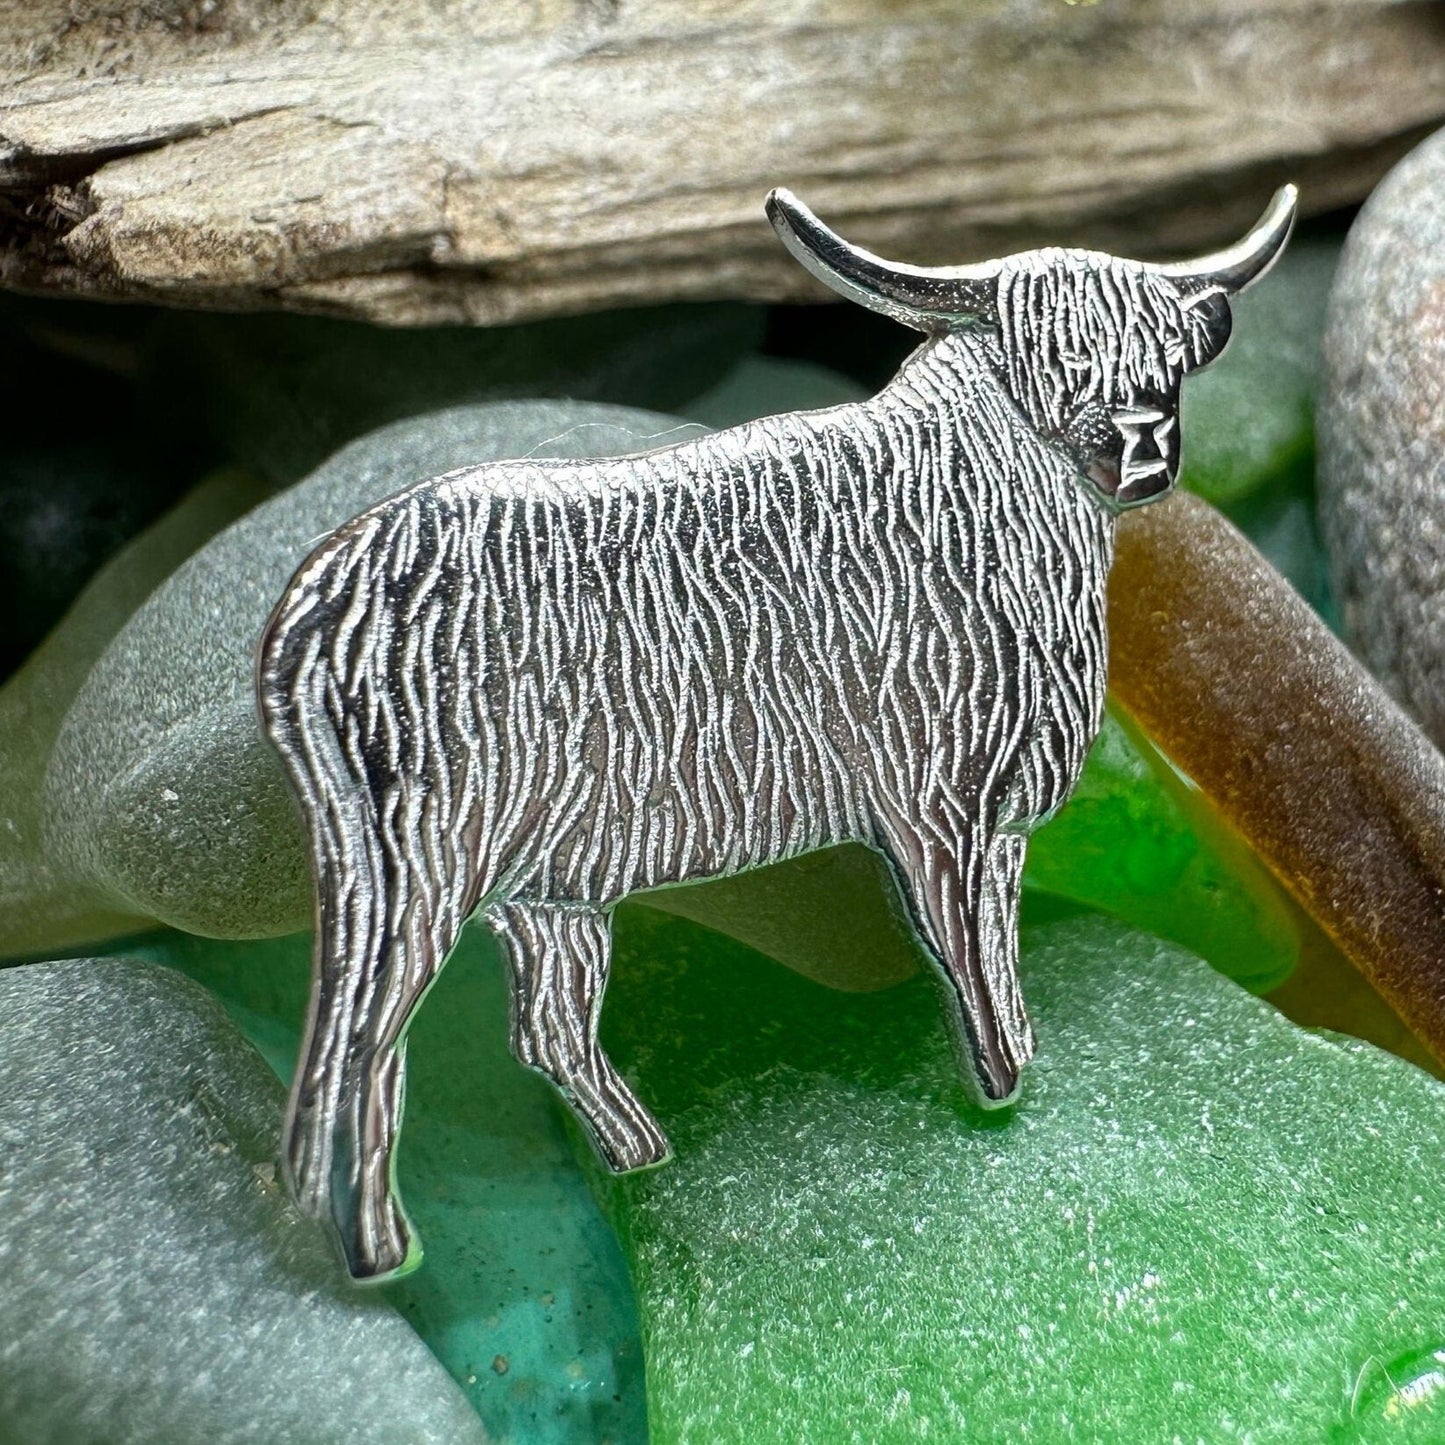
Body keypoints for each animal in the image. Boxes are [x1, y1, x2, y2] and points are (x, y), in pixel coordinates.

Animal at [258, 185, 1296, 1279]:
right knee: (367, 1045)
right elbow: (964, 957)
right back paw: (380, 1250)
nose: (1141, 444)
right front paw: (998, 1084)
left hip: (540, 889)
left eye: (1166, 350)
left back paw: (639, 1152)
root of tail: (324, 596)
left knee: (538, 1030)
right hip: (421, 868)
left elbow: (1000, 950)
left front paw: (1022, 1056)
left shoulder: (1001, 817)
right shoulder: (931, 807)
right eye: (1042, 354)